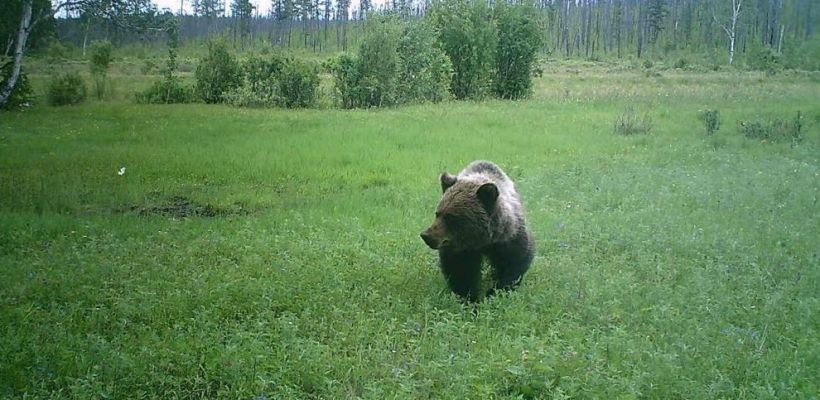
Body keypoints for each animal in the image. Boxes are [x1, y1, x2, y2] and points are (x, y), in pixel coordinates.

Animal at [420, 160, 535, 302]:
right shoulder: (460, 249)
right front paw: (469, 297)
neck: (482, 241)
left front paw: (494, 292)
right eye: (437, 214)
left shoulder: (510, 238)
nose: (427, 235)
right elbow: (461, 271)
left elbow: (514, 263)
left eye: (450, 217)